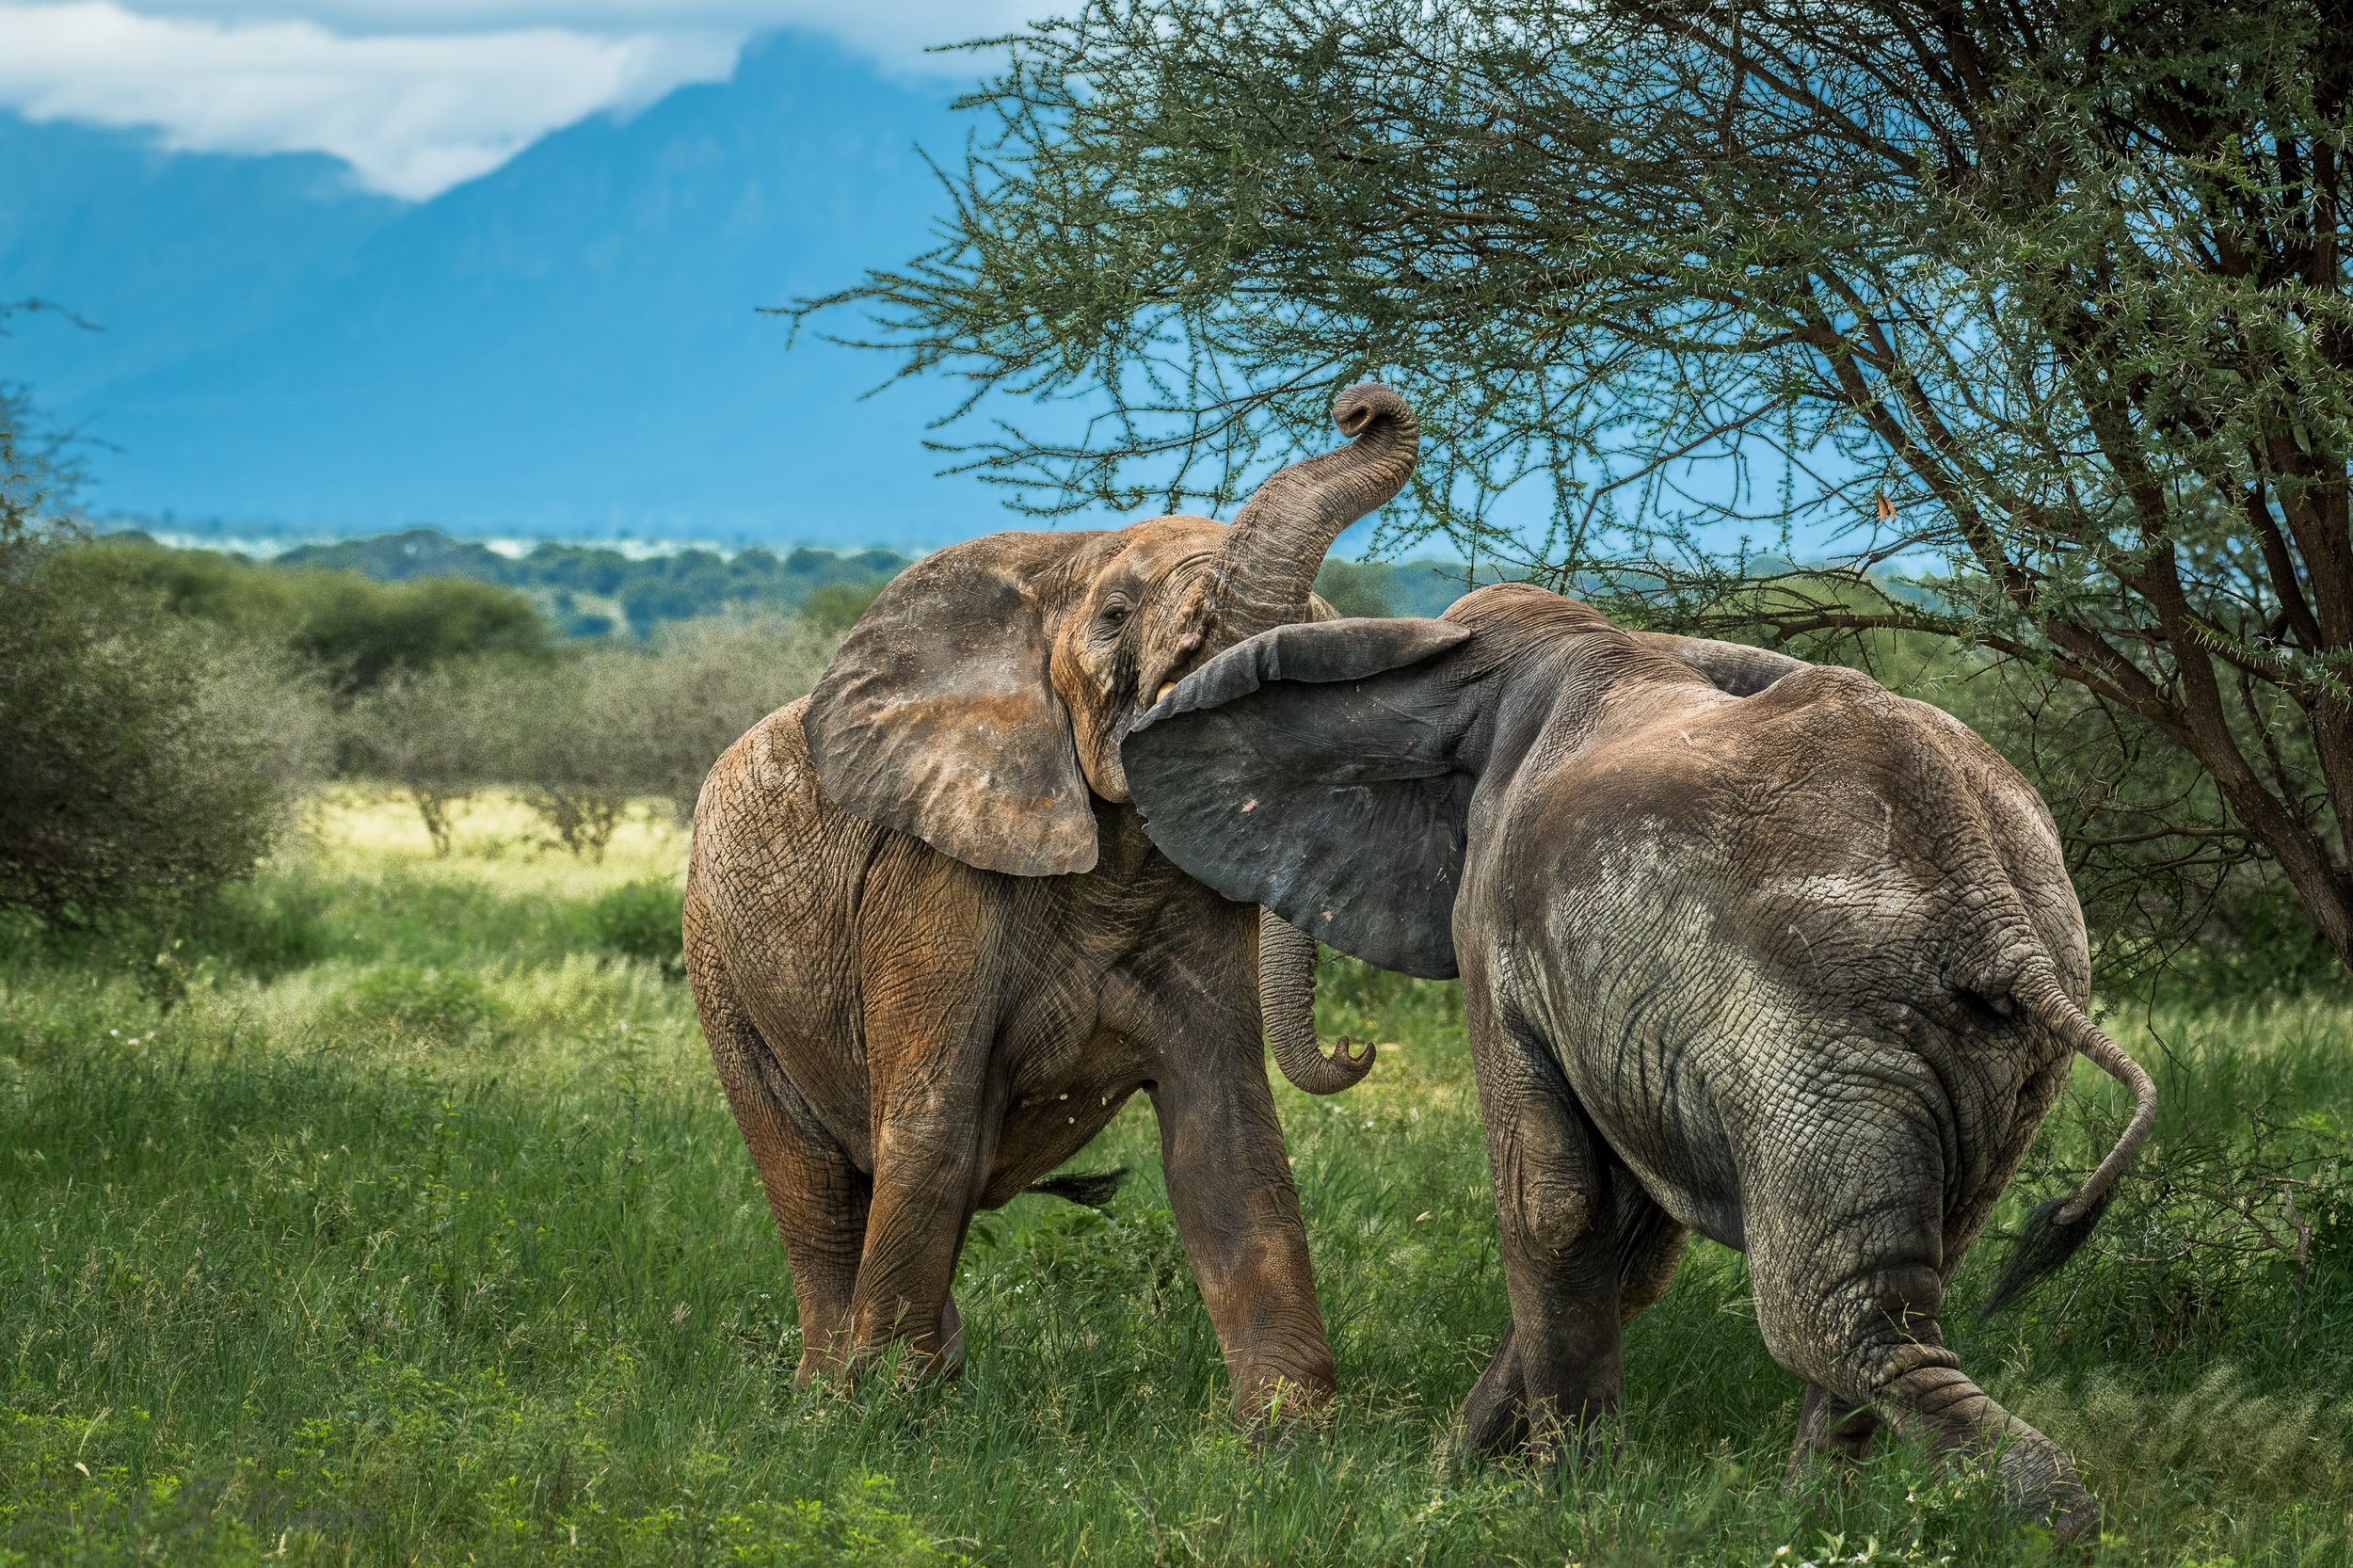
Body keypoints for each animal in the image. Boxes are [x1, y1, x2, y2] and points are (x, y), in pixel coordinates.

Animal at [681, 384, 1417, 1423]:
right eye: (1114, 614)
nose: (1359, 407)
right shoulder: (936, 881)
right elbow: (936, 1123)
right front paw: (888, 1417)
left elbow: (1228, 1140)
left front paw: (1295, 1434)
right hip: (718, 958)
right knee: (814, 1188)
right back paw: (829, 1401)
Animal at [1120, 582, 2157, 1538]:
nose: (1355, 1048)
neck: (1566, 639)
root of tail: (1994, 910)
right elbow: (1626, 1236)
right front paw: (1463, 1479)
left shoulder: (1497, 928)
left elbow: (1552, 1204)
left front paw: (1555, 1504)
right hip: (1996, 1064)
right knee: (1916, 1274)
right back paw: (1813, 1523)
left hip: (1823, 1030)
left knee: (1832, 1316)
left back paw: (2049, 1519)